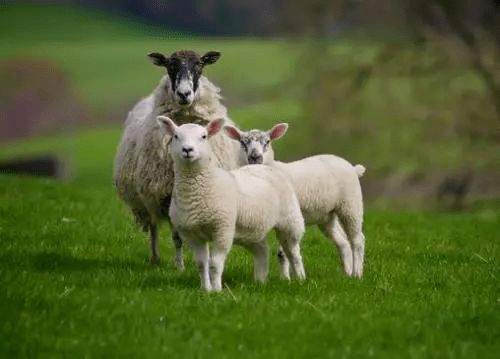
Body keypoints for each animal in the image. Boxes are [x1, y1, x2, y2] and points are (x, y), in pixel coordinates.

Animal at [114, 50, 246, 270]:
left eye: (199, 64)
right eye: (170, 66)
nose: (184, 94)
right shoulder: (167, 194)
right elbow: (176, 237)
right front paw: (180, 267)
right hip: (148, 197)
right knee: (153, 227)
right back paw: (155, 258)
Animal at [157, 117, 304, 292]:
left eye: (204, 136)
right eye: (176, 136)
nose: (187, 150)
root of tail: (263, 167)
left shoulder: (223, 229)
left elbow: (214, 264)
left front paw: (216, 290)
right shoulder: (192, 234)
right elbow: (201, 264)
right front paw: (205, 290)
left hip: (290, 220)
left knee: (293, 252)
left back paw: (300, 279)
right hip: (251, 229)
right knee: (262, 250)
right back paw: (260, 280)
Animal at [225, 123, 366, 278]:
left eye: (267, 141)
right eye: (243, 142)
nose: (255, 157)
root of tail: (353, 168)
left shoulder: (287, 216)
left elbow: (283, 253)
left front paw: (286, 278)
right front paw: (286, 277)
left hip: (350, 204)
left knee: (357, 239)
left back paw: (357, 274)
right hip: (327, 216)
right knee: (343, 242)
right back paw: (347, 273)